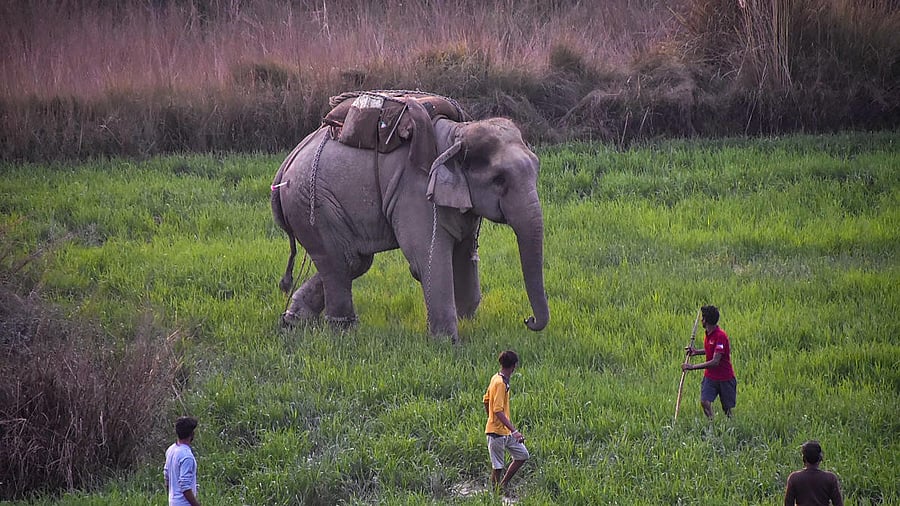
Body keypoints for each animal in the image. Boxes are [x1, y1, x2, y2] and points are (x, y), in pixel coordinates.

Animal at [271, 100, 548, 341]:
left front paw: (466, 322)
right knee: (342, 262)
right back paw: (343, 333)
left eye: (536, 170)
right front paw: (447, 344)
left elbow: (463, 254)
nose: (528, 320)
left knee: (354, 262)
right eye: (499, 180)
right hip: (312, 202)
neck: (457, 135)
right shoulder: (415, 193)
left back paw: (292, 320)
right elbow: (428, 259)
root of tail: (284, 168)